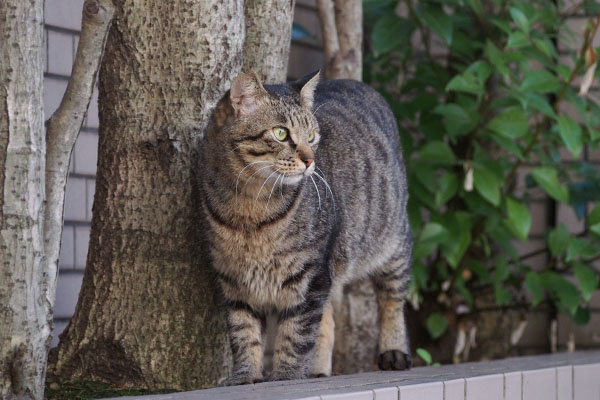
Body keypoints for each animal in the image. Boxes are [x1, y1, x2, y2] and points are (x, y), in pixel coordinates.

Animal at [200, 71, 412, 384]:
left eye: (312, 137)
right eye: (280, 133)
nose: (310, 159)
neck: (249, 207)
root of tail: (358, 83)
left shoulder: (310, 275)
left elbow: (296, 333)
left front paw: (286, 375)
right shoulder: (234, 279)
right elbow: (244, 332)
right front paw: (246, 375)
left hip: (393, 242)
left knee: (392, 299)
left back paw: (394, 351)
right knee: (328, 321)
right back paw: (317, 371)